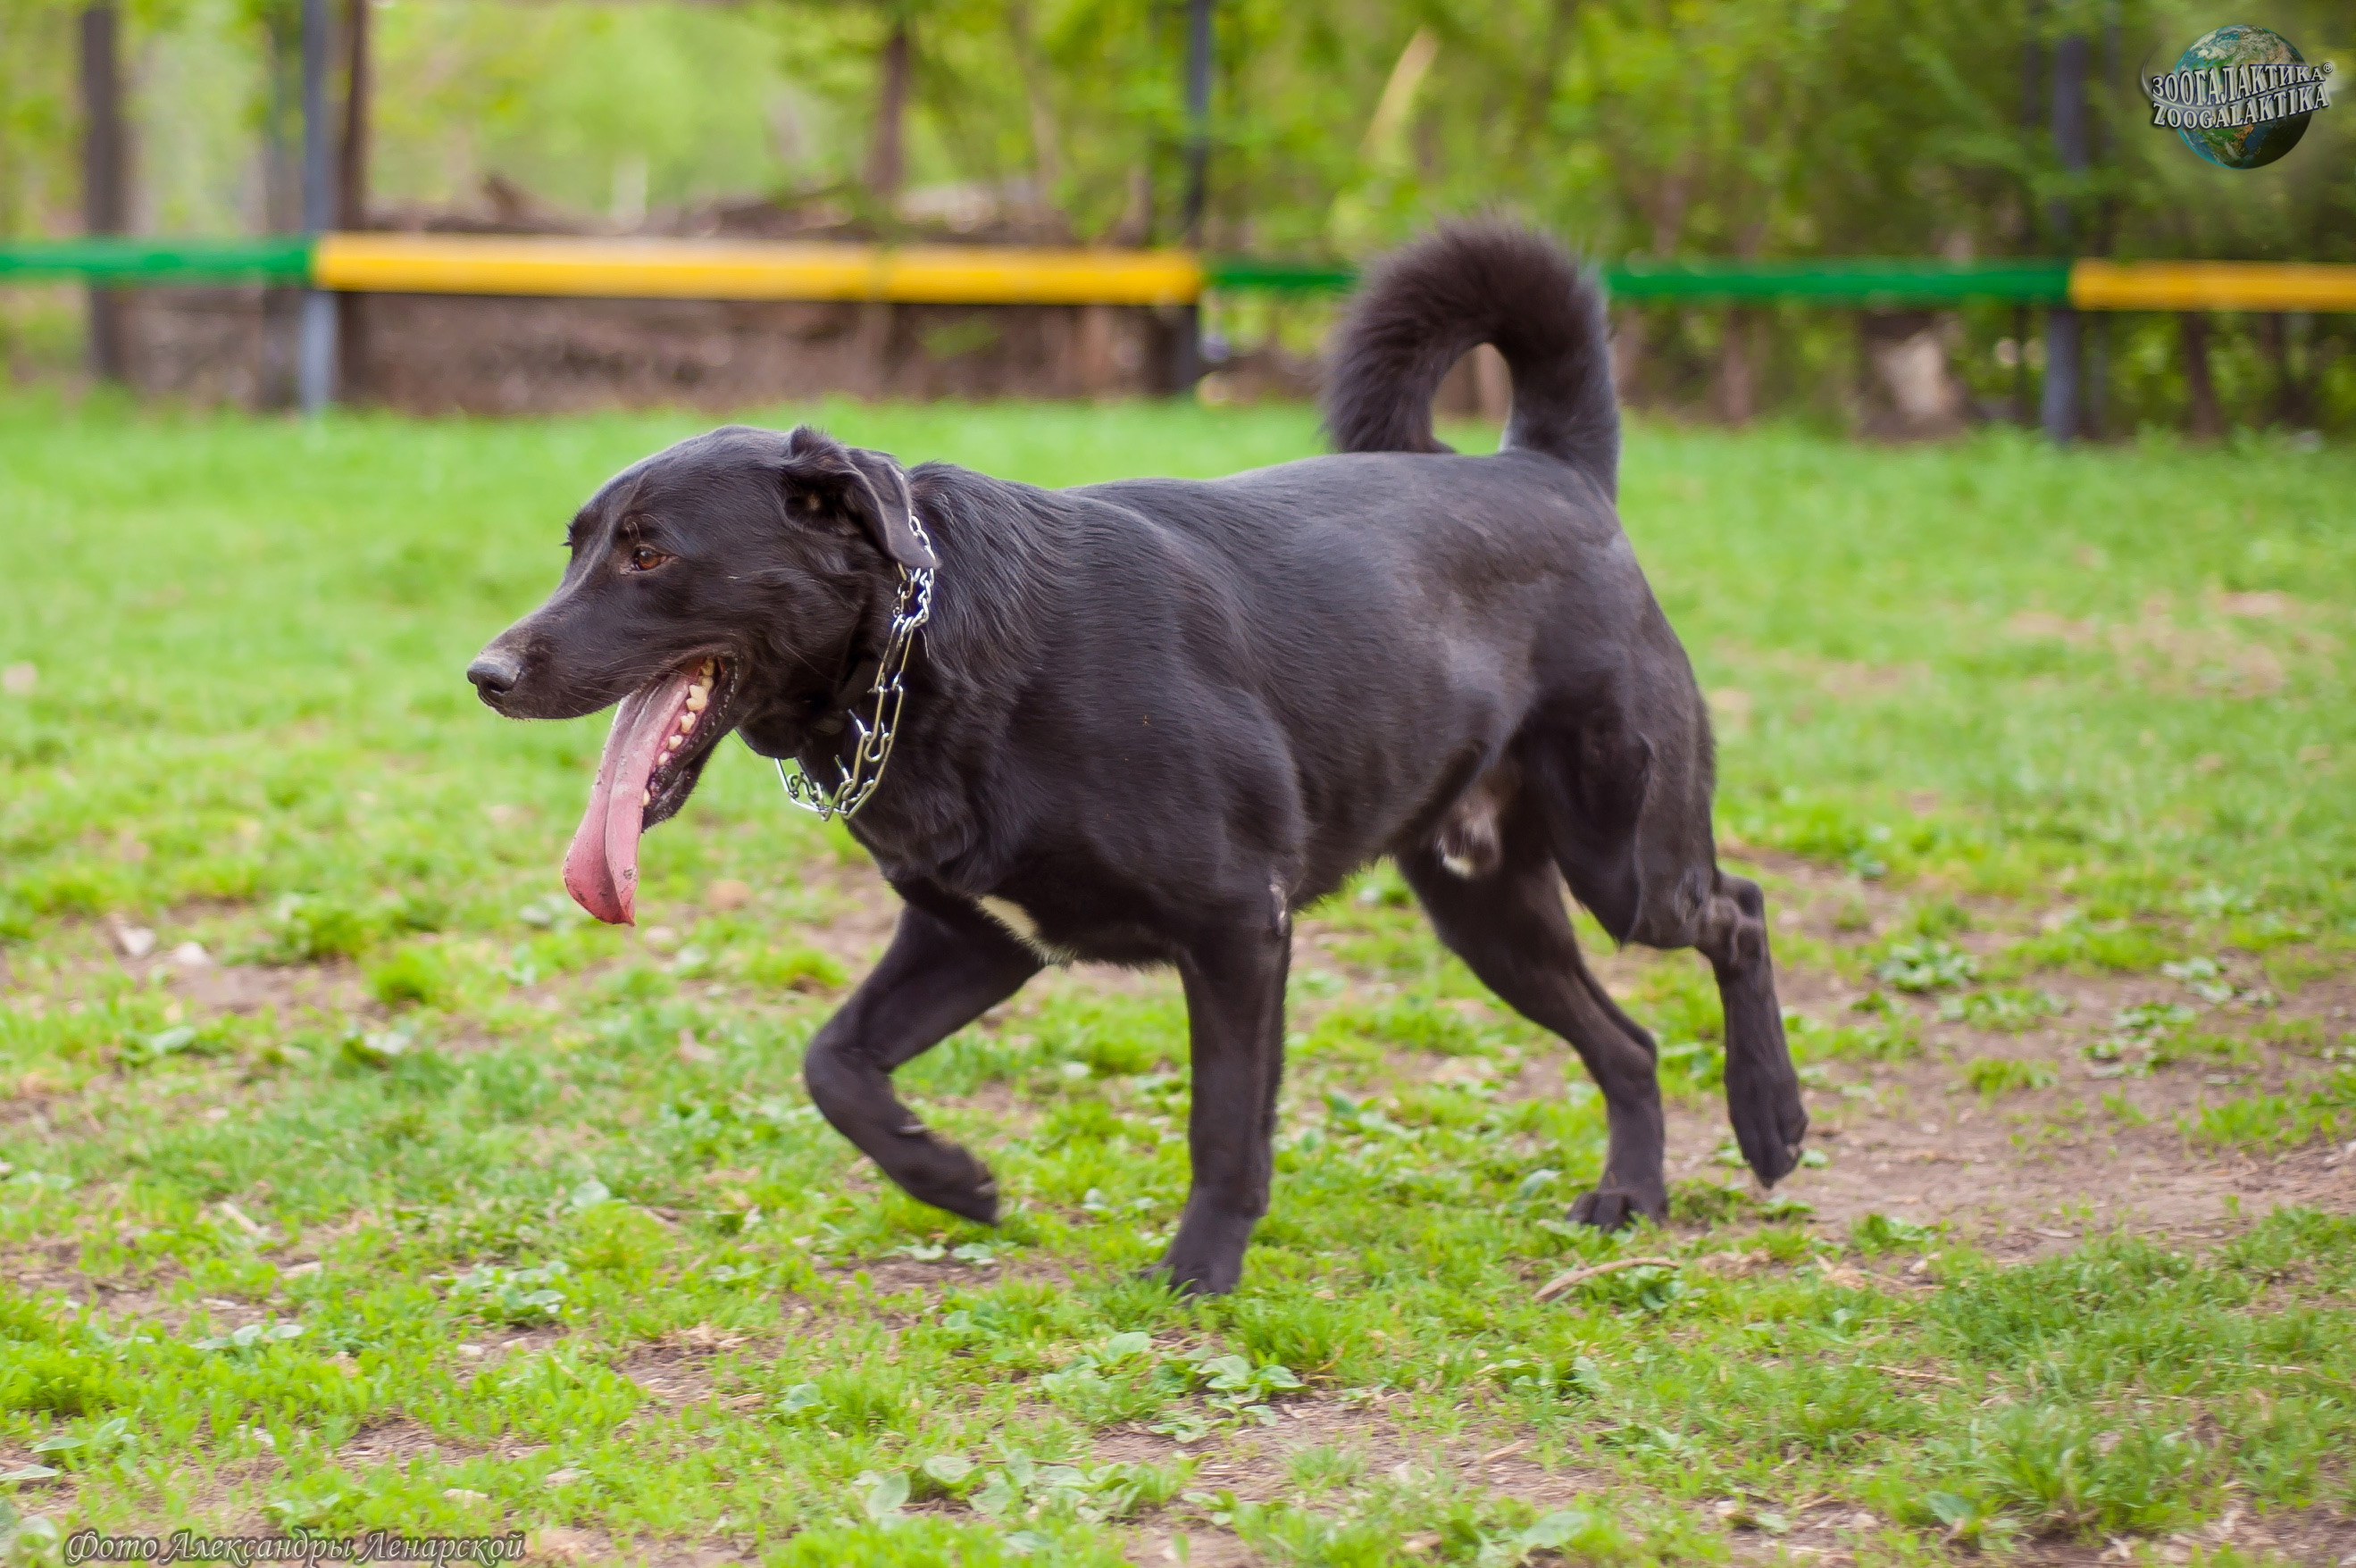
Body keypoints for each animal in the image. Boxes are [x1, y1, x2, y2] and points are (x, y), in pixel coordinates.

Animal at [468, 222, 1807, 1295]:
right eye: (577, 545)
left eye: (649, 554)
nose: (485, 673)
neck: (936, 652)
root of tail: (1549, 468)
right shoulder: (974, 938)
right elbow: (832, 1060)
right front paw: (950, 1178)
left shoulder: (1238, 930)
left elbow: (1225, 1125)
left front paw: (1198, 1272)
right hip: (1486, 908)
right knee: (1628, 1043)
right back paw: (1632, 1193)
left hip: (1621, 858)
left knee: (1737, 911)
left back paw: (1771, 1123)